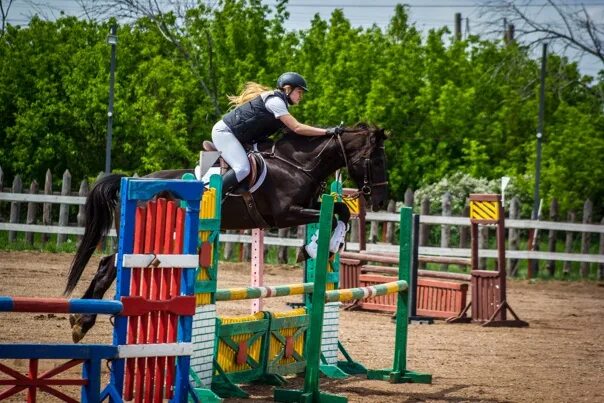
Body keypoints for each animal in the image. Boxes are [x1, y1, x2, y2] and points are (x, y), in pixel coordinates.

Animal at [63, 123, 390, 340]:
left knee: (107, 265)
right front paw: (314, 248)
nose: (382, 200)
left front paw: (326, 245)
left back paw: (80, 318)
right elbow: (335, 215)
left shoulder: (308, 207)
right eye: (375, 160)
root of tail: (129, 181)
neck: (298, 164)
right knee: (108, 267)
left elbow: (341, 212)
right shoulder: (285, 213)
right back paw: (82, 321)